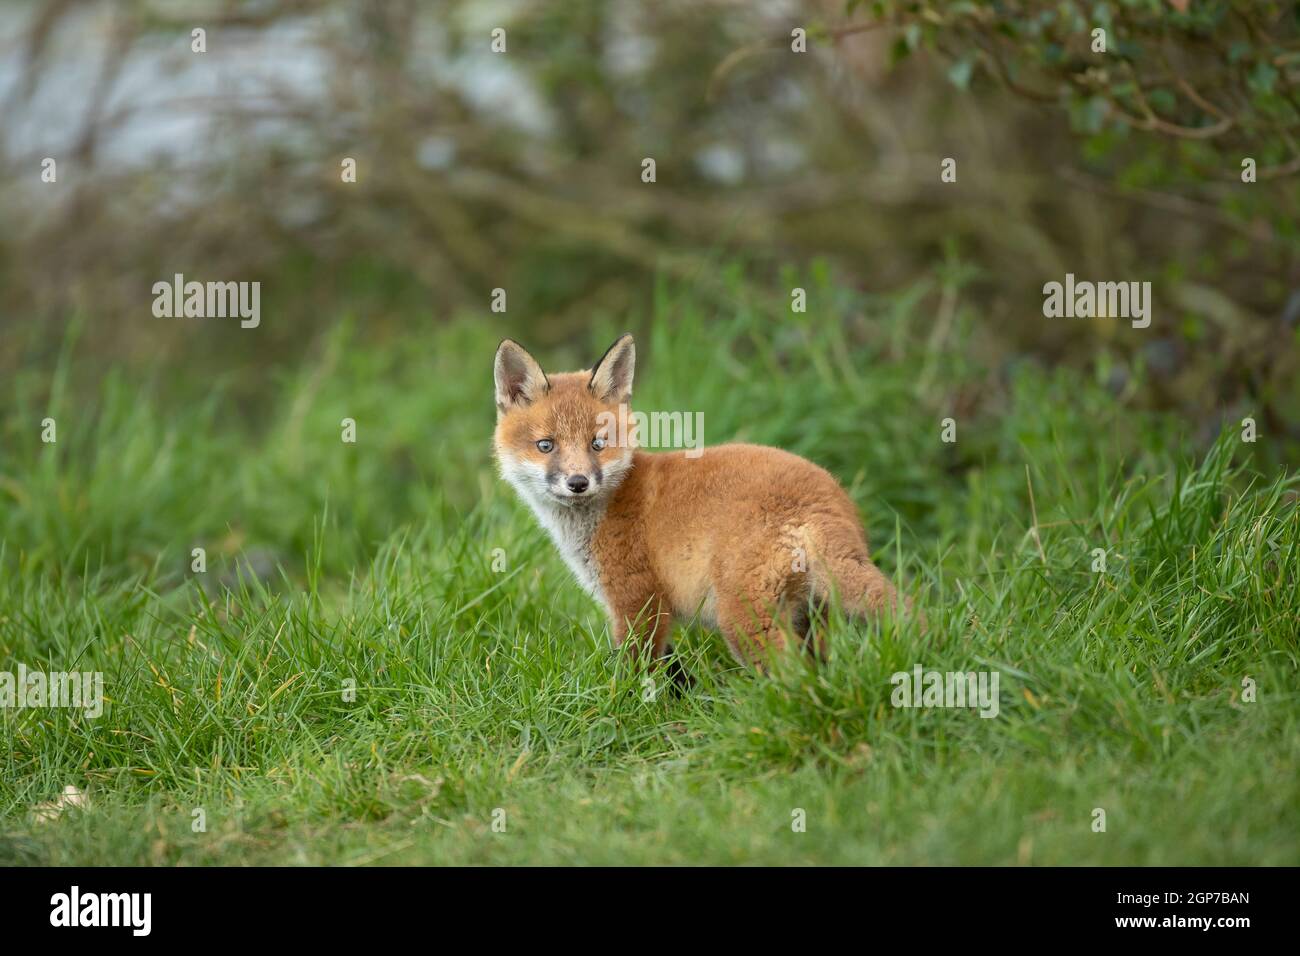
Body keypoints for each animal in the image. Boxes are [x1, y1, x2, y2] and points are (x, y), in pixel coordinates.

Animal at [491, 335, 909, 671]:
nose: (578, 483)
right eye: (546, 445)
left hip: (741, 619)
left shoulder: (639, 601)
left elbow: (635, 673)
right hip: (810, 614)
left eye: (598, 443)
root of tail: (824, 502)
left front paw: (629, 710)